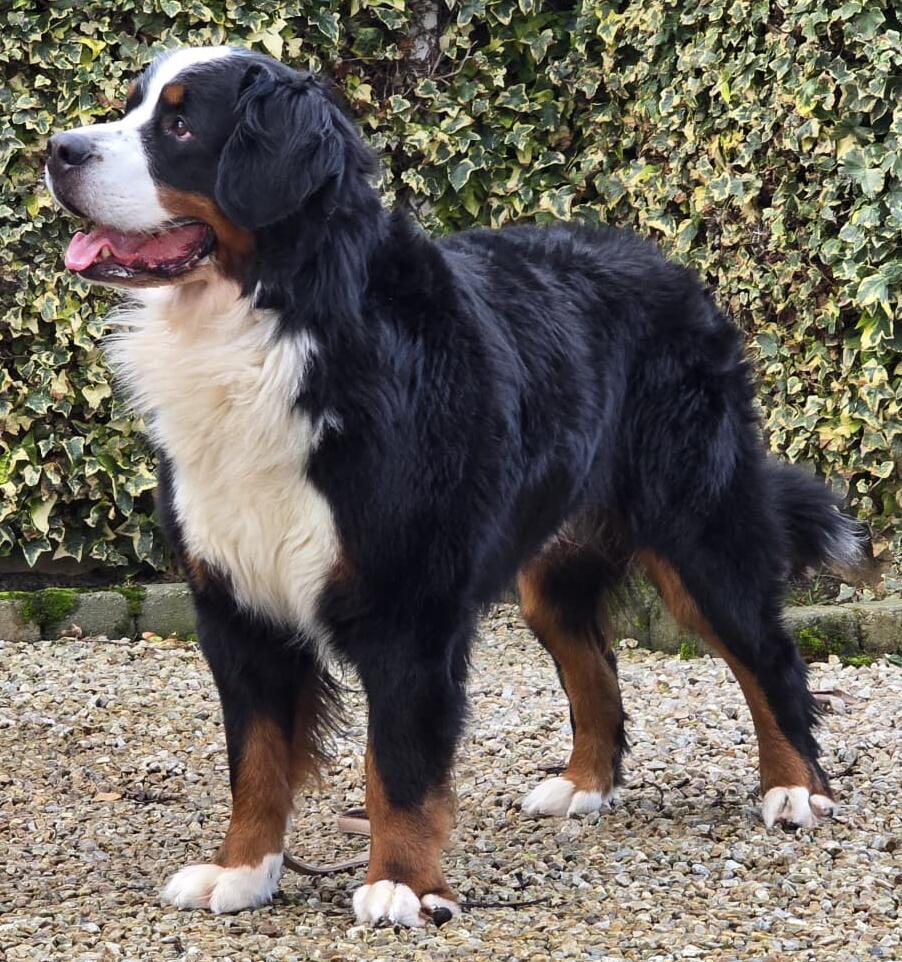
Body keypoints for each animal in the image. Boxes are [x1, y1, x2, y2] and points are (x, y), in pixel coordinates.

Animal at [46, 45, 868, 926]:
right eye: (130, 104)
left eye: (180, 124)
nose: (57, 149)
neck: (275, 327)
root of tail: (667, 263)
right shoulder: (236, 600)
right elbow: (257, 759)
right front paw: (240, 872)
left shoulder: (411, 602)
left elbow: (400, 764)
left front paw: (403, 885)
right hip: (552, 573)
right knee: (596, 671)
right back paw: (582, 786)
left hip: (699, 534)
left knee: (767, 657)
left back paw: (795, 790)